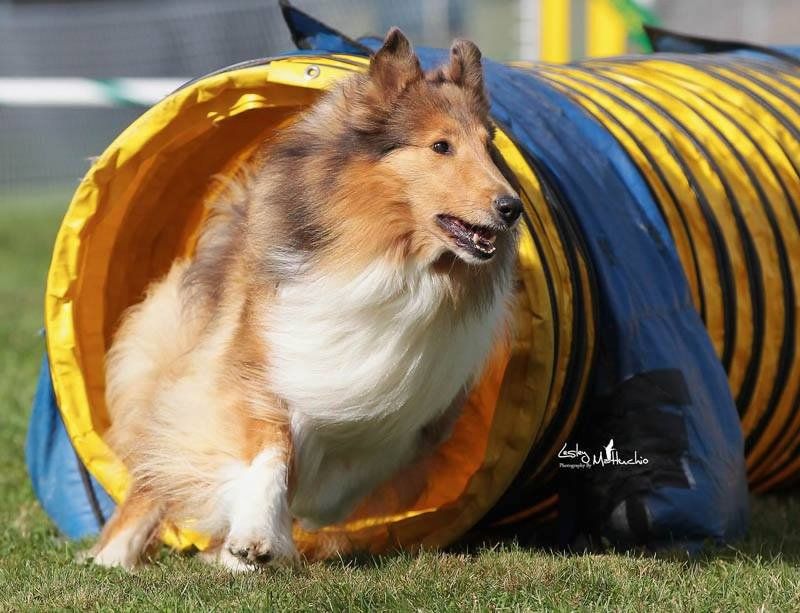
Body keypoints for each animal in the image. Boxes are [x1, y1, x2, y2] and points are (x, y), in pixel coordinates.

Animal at [89, 28, 524, 572]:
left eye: (490, 147)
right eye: (441, 146)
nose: (512, 207)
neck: (389, 259)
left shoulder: (405, 424)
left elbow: (327, 479)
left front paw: (256, 542)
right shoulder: (257, 367)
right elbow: (272, 451)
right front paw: (254, 533)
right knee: (153, 471)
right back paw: (112, 556)